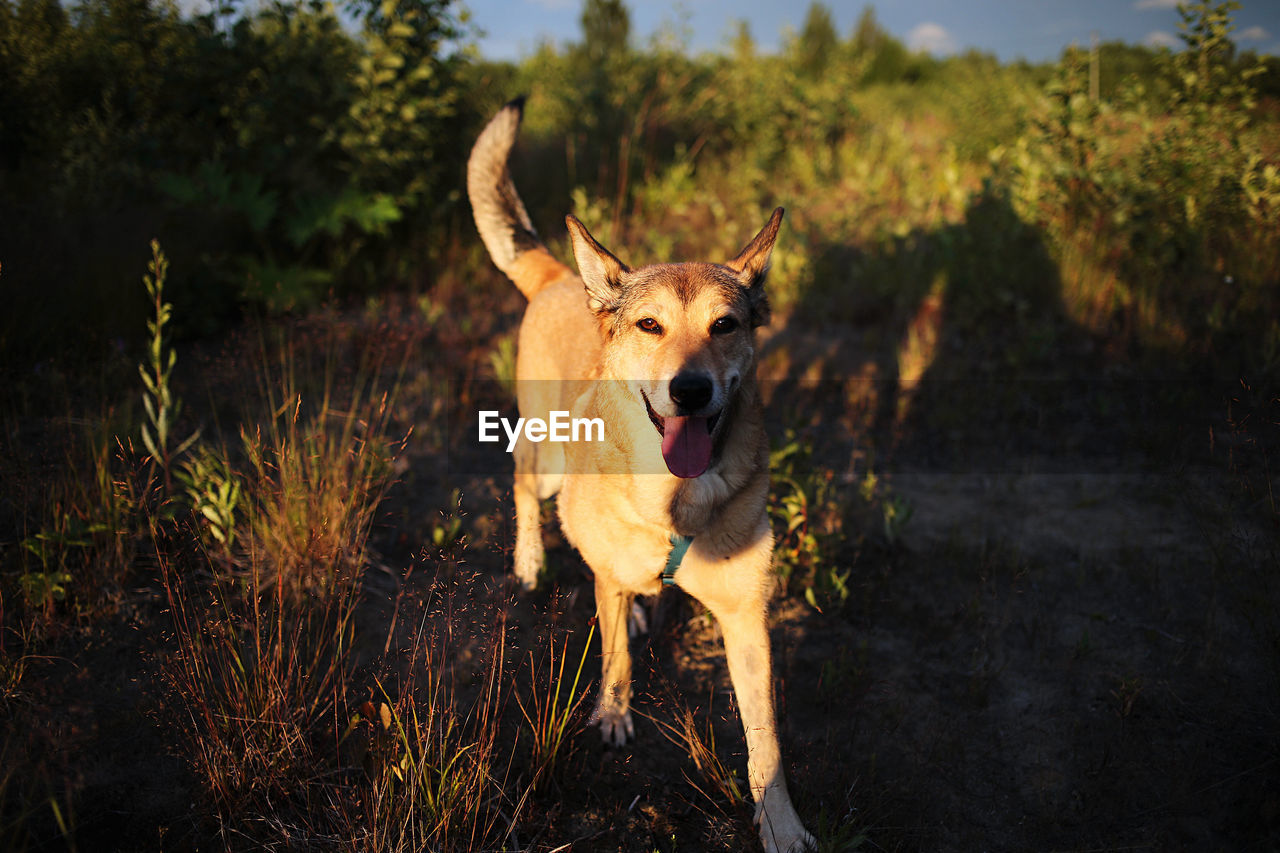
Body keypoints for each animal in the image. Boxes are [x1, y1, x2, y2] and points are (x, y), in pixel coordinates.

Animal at [468, 96, 808, 850]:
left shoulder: (747, 617)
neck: (677, 501)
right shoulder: (607, 579)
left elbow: (766, 738)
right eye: (650, 325)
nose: (691, 390)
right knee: (522, 486)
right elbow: (616, 654)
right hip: (547, 465)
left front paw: (781, 821)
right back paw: (531, 562)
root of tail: (567, 279)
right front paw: (614, 714)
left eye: (725, 324)